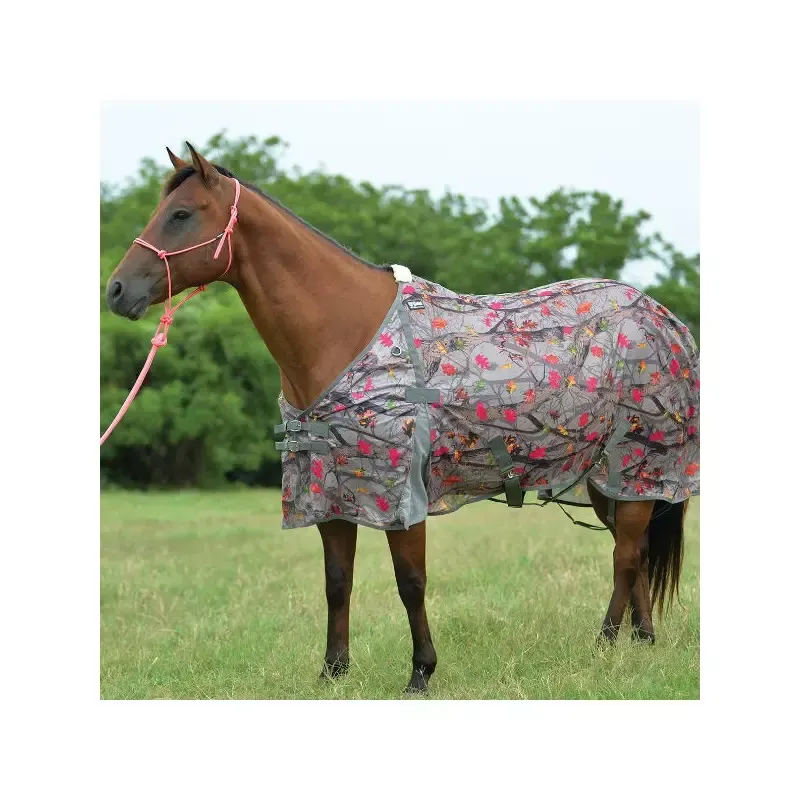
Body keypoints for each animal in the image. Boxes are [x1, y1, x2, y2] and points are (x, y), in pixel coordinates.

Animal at [104, 143, 699, 694]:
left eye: (181, 214)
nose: (116, 291)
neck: (344, 333)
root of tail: (663, 318)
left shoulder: (401, 492)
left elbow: (410, 581)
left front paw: (421, 672)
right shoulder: (330, 491)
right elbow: (337, 581)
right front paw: (332, 672)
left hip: (637, 466)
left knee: (625, 557)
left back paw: (605, 642)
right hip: (608, 480)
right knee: (635, 553)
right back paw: (641, 641)